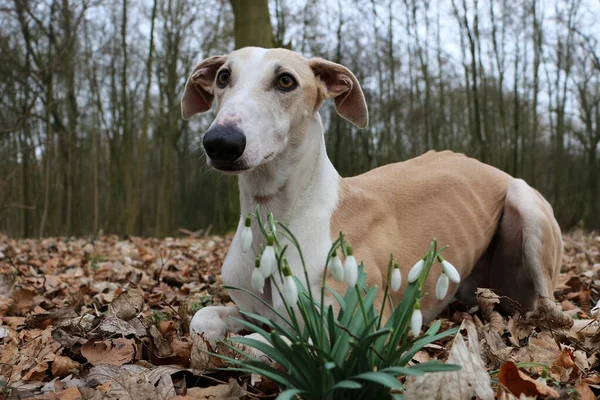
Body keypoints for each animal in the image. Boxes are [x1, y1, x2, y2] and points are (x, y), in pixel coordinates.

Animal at [180, 47, 564, 346]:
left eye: (286, 80)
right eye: (224, 77)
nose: (221, 142)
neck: (275, 221)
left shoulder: (361, 324)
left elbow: (260, 349)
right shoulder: (253, 309)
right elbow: (203, 319)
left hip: (527, 209)